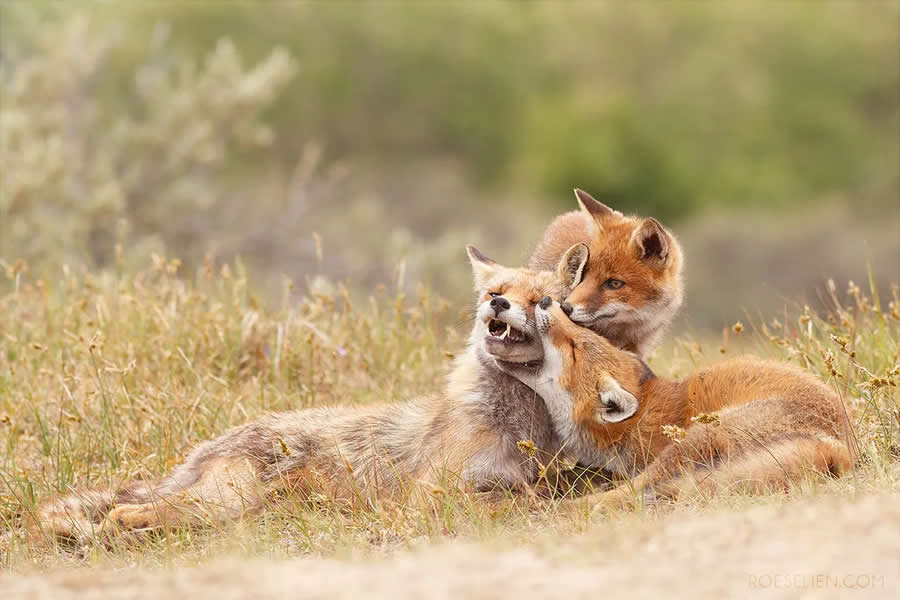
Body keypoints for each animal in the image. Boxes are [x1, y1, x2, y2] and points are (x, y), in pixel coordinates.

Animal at [496, 295, 856, 512]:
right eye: (580, 336)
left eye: (574, 347)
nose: (546, 300)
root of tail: (840, 448)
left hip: (694, 440)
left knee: (630, 492)